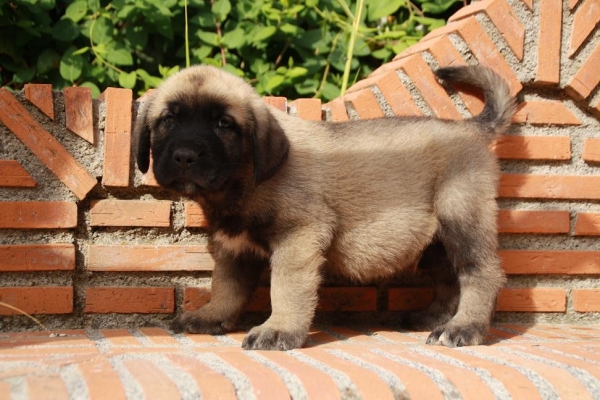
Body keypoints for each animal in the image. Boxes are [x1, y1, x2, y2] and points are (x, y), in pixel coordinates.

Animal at [136, 65, 516, 350]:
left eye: (223, 124)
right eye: (168, 121)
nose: (185, 156)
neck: (243, 180)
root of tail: (469, 128)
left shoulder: (298, 236)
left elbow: (285, 288)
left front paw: (278, 329)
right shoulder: (234, 247)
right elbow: (226, 287)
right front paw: (212, 315)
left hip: (461, 217)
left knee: (480, 273)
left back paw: (463, 327)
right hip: (435, 240)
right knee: (448, 279)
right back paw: (435, 318)